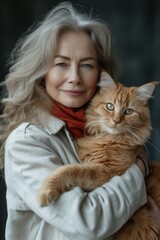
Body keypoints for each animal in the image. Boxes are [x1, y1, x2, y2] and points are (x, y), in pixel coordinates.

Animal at [37, 72, 160, 239]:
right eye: (110, 106)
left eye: (128, 111)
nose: (116, 121)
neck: (108, 140)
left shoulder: (107, 172)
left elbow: (70, 170)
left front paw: (45, 191)